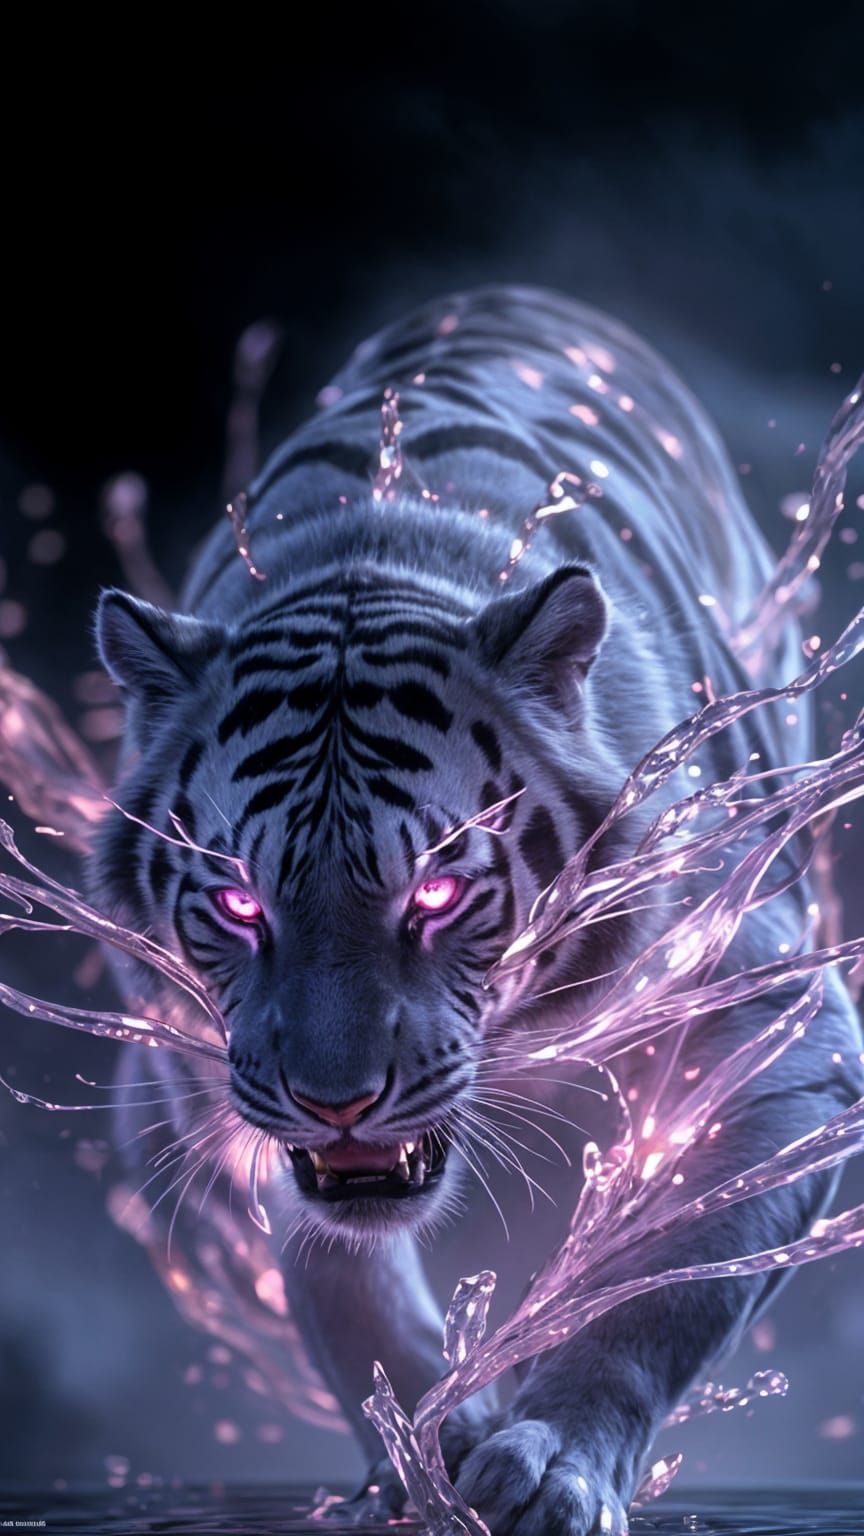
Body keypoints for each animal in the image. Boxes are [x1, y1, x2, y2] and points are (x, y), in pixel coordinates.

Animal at [91, 286, 861, 1536]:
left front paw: (554, 1462)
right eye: (242, 901)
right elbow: (337, 1282)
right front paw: (433, 1448)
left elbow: (661, 1297)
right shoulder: (199, 1076)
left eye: (439, 891)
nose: (337, 1101)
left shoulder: (786, 1025)